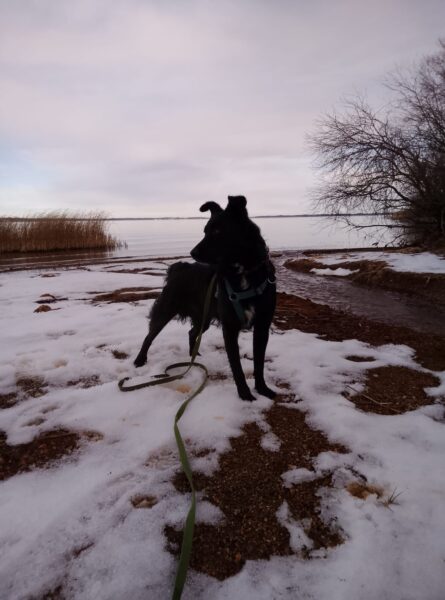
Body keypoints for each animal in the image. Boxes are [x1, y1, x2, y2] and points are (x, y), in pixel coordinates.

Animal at [134, 195, 276, 401]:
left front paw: (262, 389)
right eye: (205, 231)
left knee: (192, 332)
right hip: (166, 309)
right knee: (149, 336)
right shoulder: (230, 328)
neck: (243, 272)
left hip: (204, 317)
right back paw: (140, 360)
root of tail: (179, 267)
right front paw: (245, 394)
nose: (192, 252)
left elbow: (259, 363)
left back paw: (195, 356)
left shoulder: (262, 326)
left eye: (217, 231)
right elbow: (237, 367)